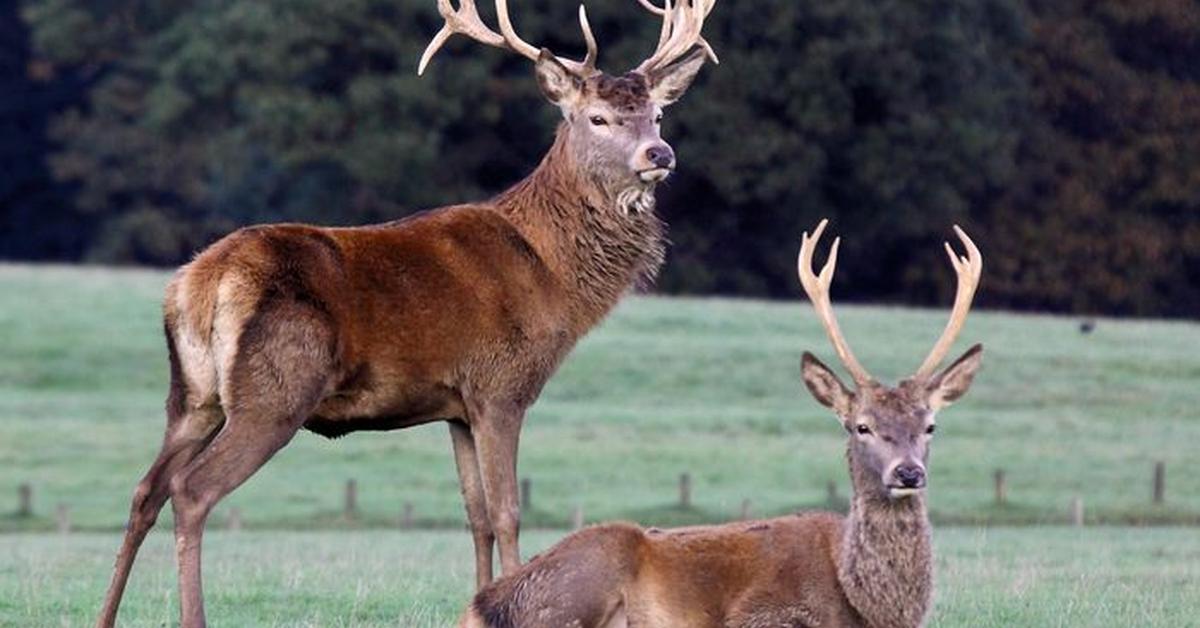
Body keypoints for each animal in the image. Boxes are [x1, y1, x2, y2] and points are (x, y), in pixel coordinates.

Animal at [93, 2, 720, 624]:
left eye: (658, 115)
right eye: (597, 118)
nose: (658, 155)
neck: (550, 273)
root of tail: (201, 282)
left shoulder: (456, 406)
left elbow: (474, 516)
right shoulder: (500, 387)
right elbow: (507, 512)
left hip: (193, 395)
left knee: (145, 489)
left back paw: (105, 615)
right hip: (273, 392)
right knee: (192, 489)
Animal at [458, 218, 984, 624]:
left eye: (930, 425)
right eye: (862, 426)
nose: (908, 472)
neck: (868, 606)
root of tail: (482, 606)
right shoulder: (762, 613)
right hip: (583, 583)